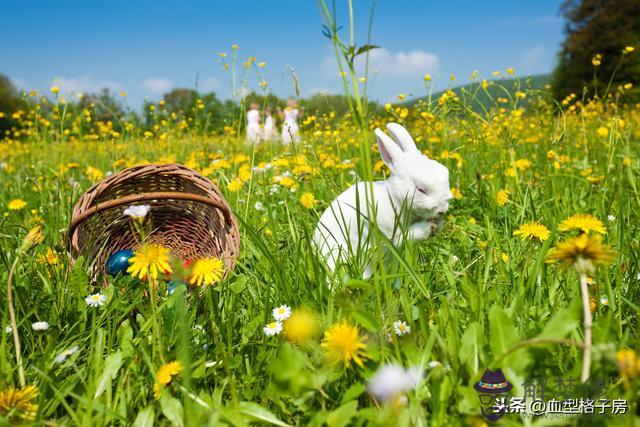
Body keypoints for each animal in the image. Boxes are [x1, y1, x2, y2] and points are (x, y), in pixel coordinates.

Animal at [312, 122, 452, 280]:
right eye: (421, 189)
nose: (442, 210)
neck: (396, 200)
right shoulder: (389, 234)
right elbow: (408, 235)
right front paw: (427, 228)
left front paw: (438, 226)